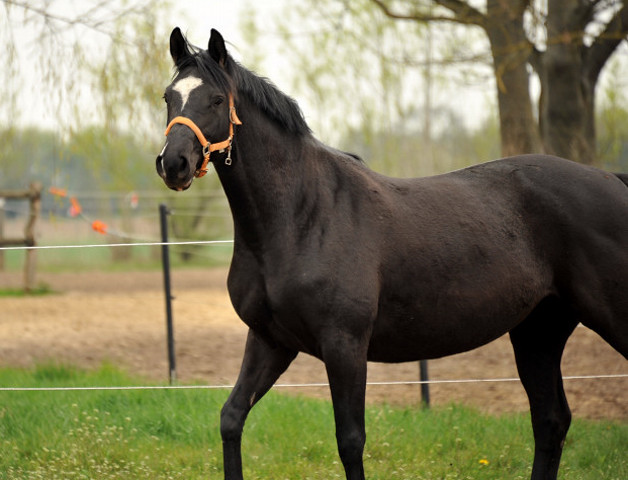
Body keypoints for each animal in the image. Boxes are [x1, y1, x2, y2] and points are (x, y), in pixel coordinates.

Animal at [158, 27, 628, 480]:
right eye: (168, 97)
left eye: (216, 99)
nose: (173, 163)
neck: (302, 216)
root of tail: (612, 180)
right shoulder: (270, 340)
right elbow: (231, 418)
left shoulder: (344, 345)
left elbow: (350, 441)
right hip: (538, 330)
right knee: (551, 421)